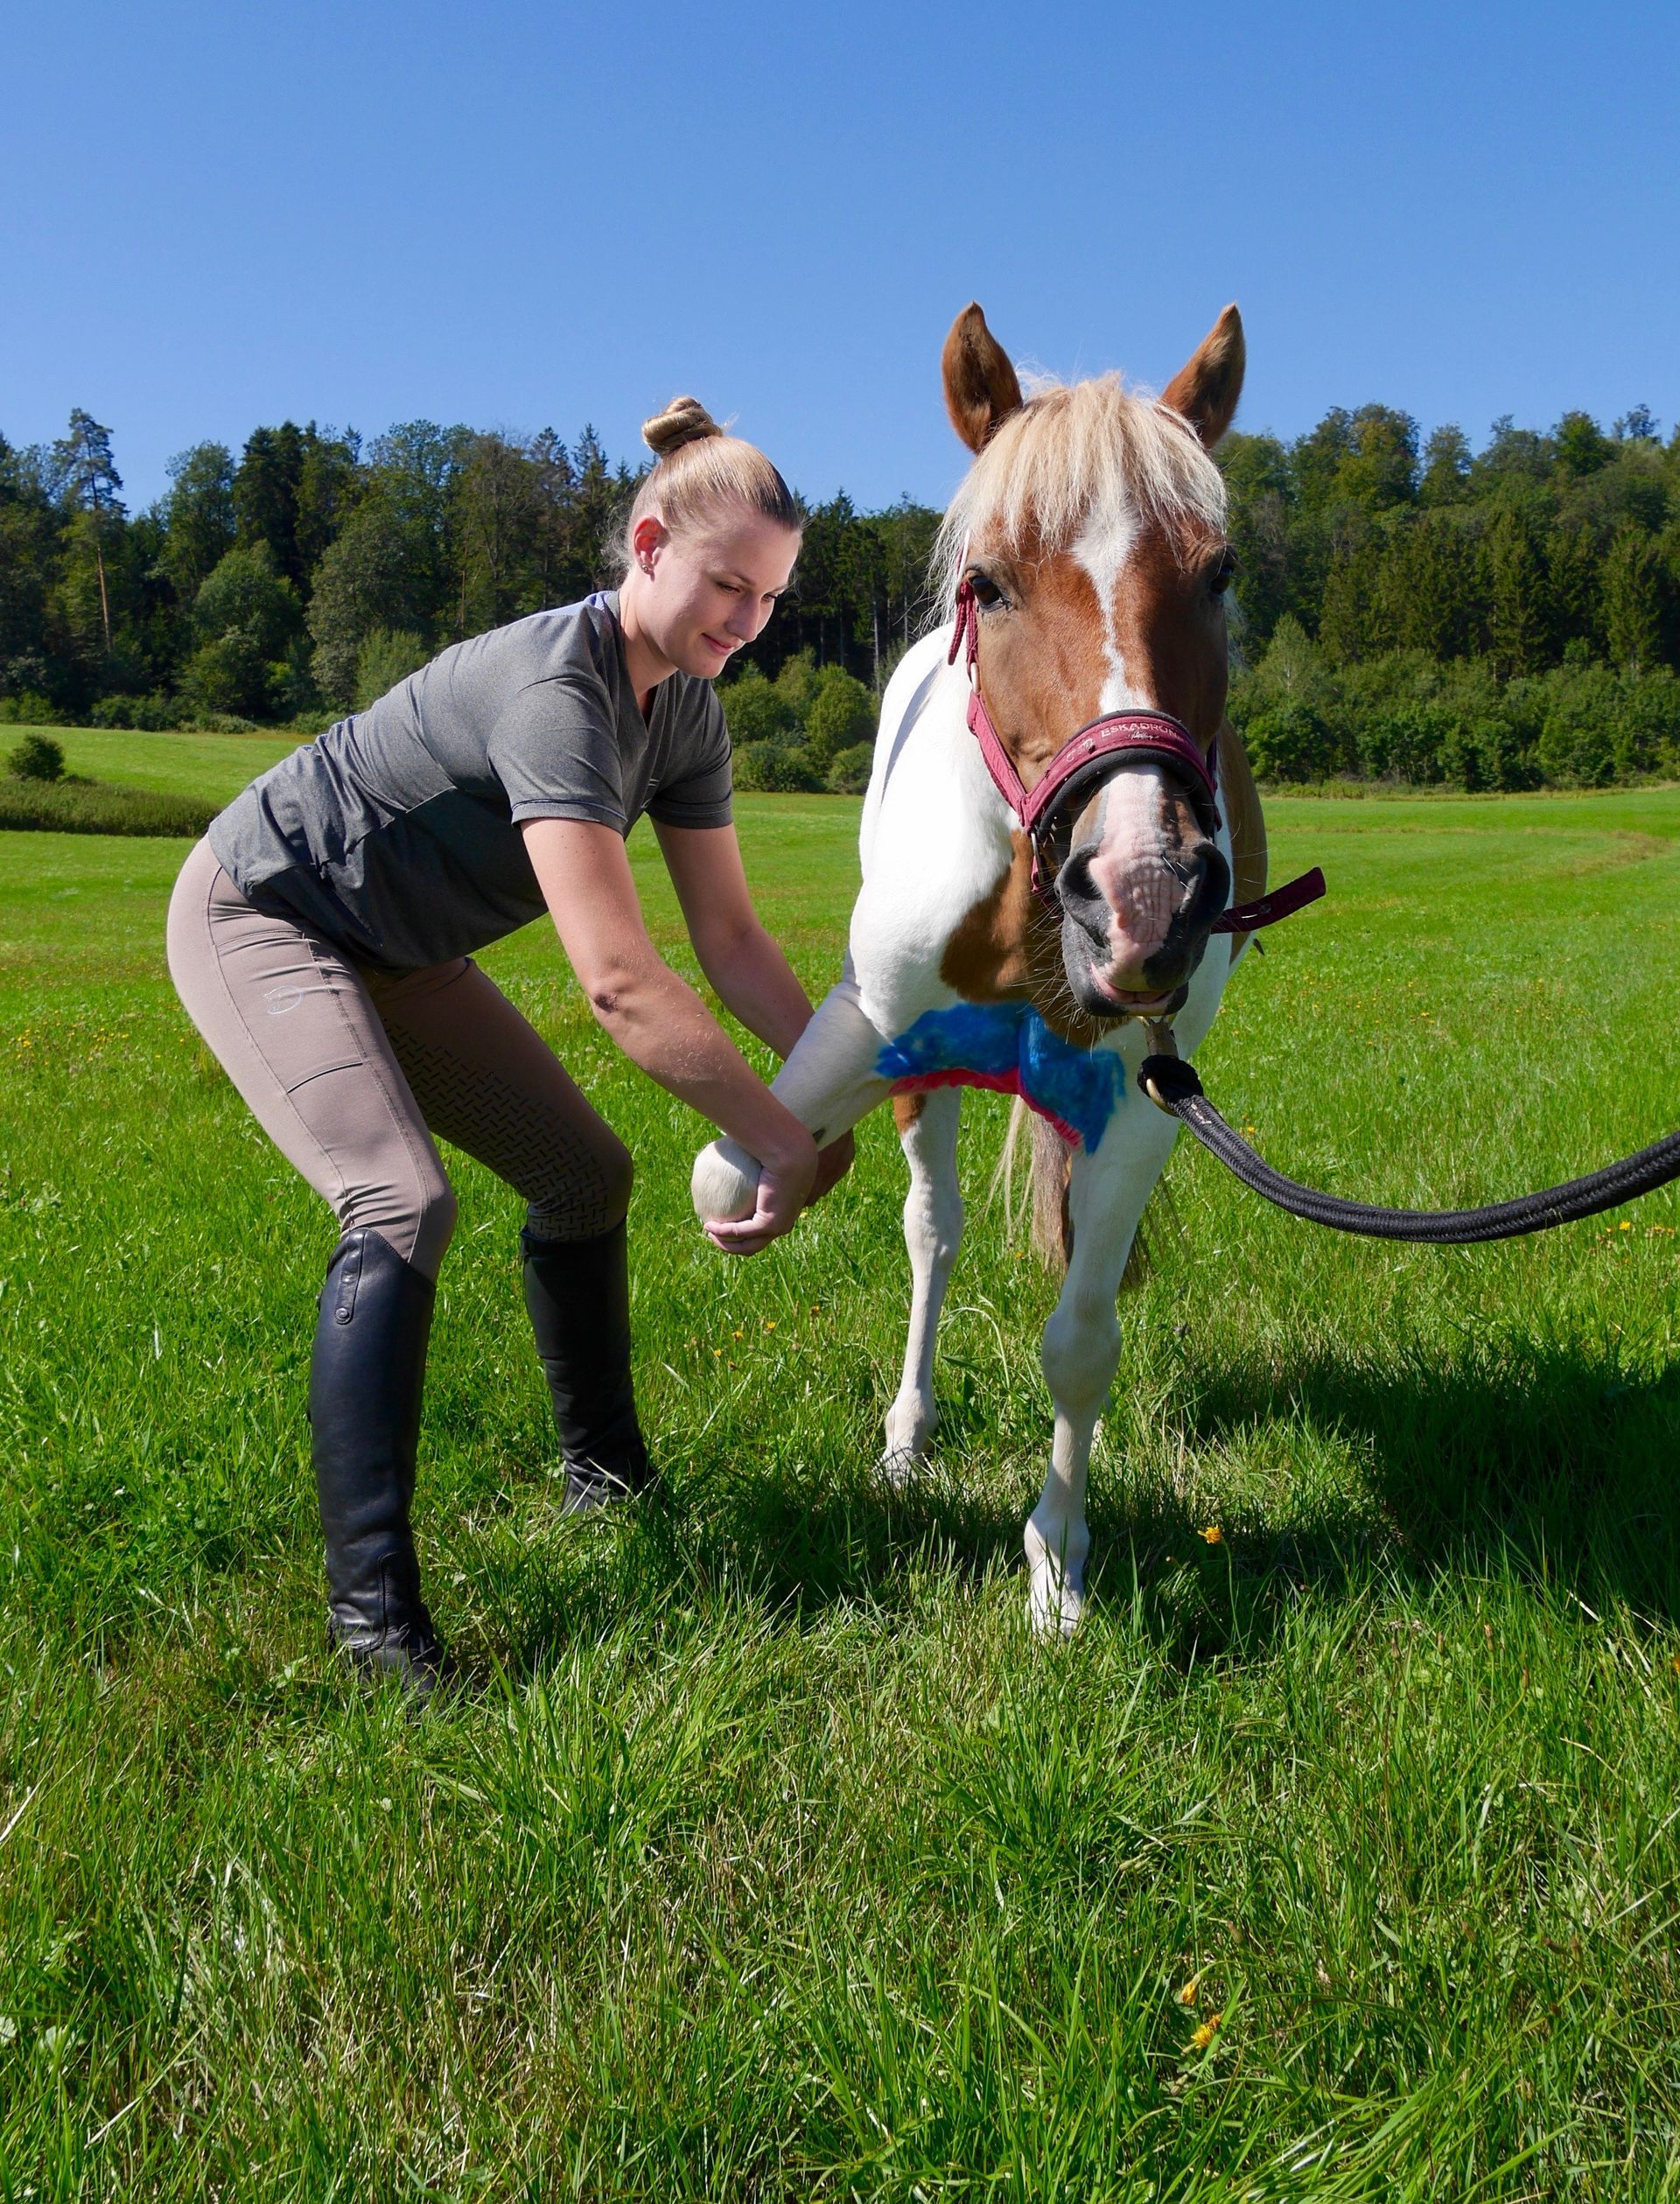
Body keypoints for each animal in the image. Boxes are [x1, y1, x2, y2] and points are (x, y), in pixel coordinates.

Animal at [693, 301, 1270, 1635]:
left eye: (1217, 572)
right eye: (988, 584)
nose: (1145, 894)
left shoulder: (1144, 1102)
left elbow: (1082, 1340)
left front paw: (1058, 1562)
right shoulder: (886, 1038)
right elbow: (736, 1173)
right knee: (934, 1232)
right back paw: (908, 1434)